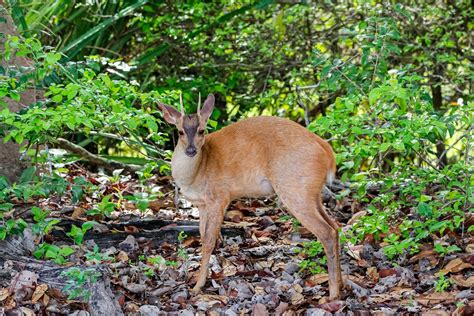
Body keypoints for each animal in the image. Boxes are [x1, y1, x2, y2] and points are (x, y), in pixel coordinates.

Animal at [160, 94, 344, 298]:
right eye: (180, 132)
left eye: (201, 130)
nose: (191, 150)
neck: (198, 171)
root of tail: (327, 152)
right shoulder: (202, 205)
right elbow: (201, 236)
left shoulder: (219, 197)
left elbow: (209, 241)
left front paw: (198, 286)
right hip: (312, 193)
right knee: (335, 227)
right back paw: (341, 285)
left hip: (295, 190)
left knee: (326, 232)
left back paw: (333, 294)